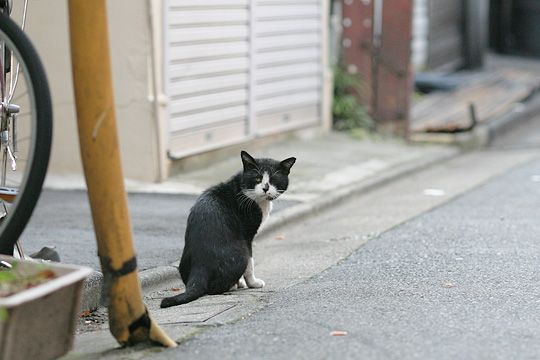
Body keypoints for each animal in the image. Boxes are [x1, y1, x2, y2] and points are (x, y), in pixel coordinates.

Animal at [159, 150, 296, 308]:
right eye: (257, 178)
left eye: (273, 179)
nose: (265, 188)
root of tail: (200, 266)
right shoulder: (246, 235)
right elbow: (250, 263)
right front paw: (252, 283)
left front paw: (241, 282)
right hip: (240, 251)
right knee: (214, 288)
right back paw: (231, 286)